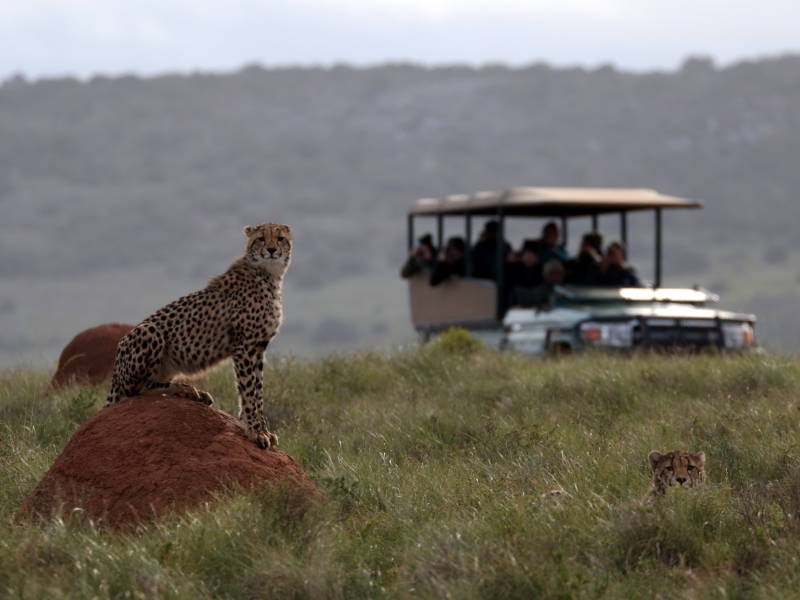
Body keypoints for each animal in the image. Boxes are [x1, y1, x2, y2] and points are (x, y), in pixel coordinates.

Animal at [106, 223, 292, 448]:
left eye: (280, 238)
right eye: (261, 238)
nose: (272, 250)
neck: (268, 275)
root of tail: (115, 375)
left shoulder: (258, 347)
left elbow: (258, 390)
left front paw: (262, 429)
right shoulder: (245, 346)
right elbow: (249, 390)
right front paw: (255, 431)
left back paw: (193, 392)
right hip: (149, 331)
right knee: (137, 389)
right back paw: (185, 389)